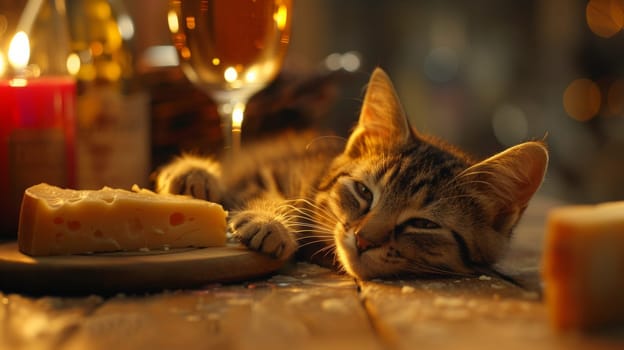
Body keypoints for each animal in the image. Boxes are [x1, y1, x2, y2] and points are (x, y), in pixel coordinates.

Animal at [155, 68, 544, 280]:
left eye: (424, 224)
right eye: (364, 192)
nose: (363, 239)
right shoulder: (275, 169)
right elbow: (264, 188)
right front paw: (272, 221)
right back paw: (194, 175)